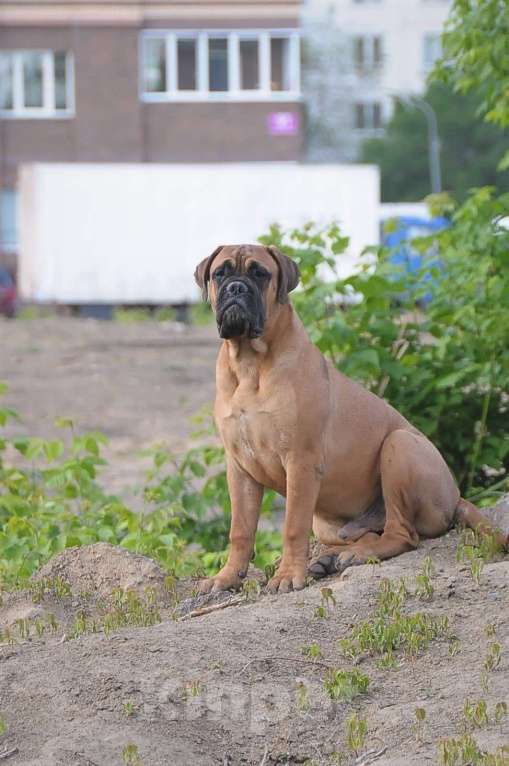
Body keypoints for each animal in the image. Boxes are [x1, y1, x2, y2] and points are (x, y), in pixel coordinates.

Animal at [193, 243, 504, 596]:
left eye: (260, 274)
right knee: (366, 533)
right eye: (221, 273)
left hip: (398, 447)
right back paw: (330, 559)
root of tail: (455, 496)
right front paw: (227, 577)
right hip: (329, 521)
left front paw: (287, 575)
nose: (236, 288)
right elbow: (240, 531)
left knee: (402, 534)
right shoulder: (240, 468)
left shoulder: (300, 462)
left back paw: (354, 555)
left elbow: (292, 527)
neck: (249, 364)